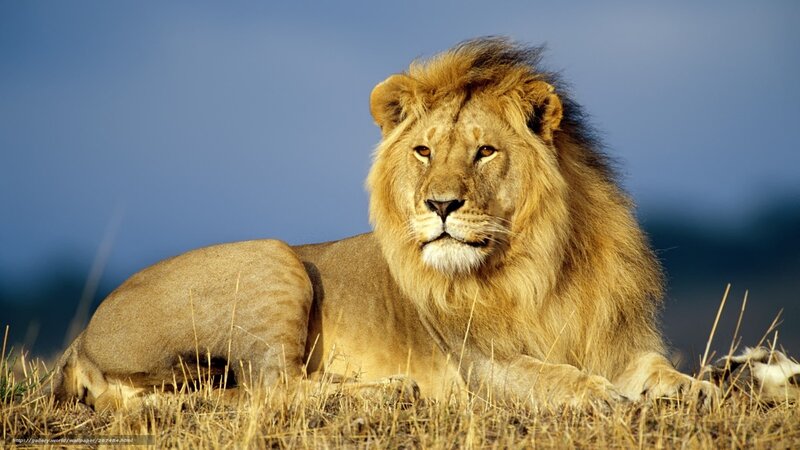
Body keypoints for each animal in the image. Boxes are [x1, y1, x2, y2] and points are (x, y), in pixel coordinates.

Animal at [52, 37, 726, 410]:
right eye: (424, 152)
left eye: (484, 152)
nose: (441, 206)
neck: (540, 263)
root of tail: (81, 341)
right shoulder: (478, 364)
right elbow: (548, 375)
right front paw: (596, 394)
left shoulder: (615, 339)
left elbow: (657, 368)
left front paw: (700, 388)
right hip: (274, 257)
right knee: (272, 388)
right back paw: (390, 391)